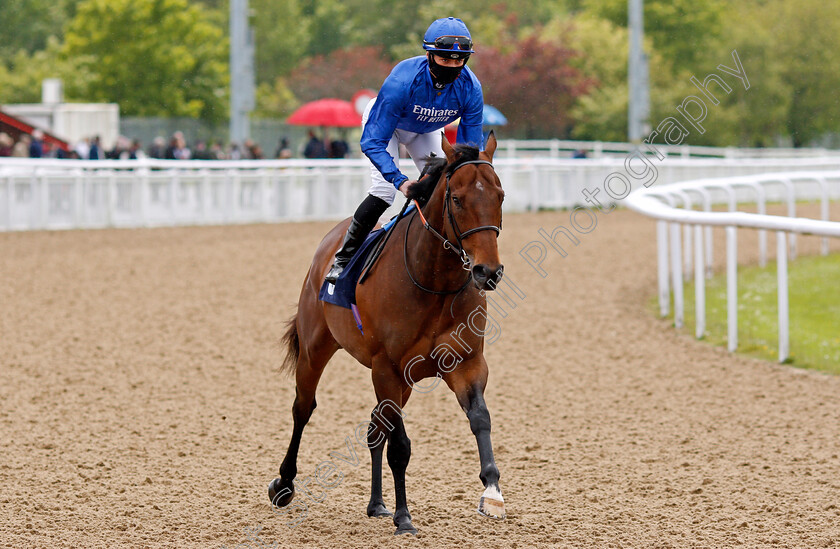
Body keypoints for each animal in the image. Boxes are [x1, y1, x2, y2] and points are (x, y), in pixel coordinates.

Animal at [270, 131, 506, 532]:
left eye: (500, 196)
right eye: (457, 199)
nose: (487, 271)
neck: (434, 283)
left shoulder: (466, 363)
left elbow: (480, 419)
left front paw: (492, 491)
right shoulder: (387, 368)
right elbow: (401, 446)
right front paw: (404, 516)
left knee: (373, 426)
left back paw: (376, 503)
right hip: (316, 348)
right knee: (303, 408)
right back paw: (284, 484)